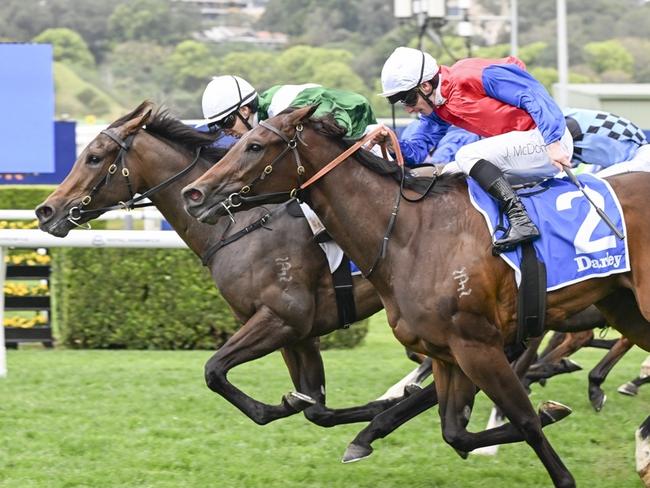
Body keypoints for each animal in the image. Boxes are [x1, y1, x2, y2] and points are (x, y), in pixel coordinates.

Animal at [34, 102, 416, 428]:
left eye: (94, 157)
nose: (45, 211)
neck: (238, 225)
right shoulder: (298, 333)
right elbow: (315, 407)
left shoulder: (281, 318)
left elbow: (214, 370)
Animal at [180, 105, 648, 486]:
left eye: (255, 145)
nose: (194, 193)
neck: (410, 235)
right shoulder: (446, 352)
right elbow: (454, 431)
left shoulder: (477, 344)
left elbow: (525, 421)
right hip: (624, 307)